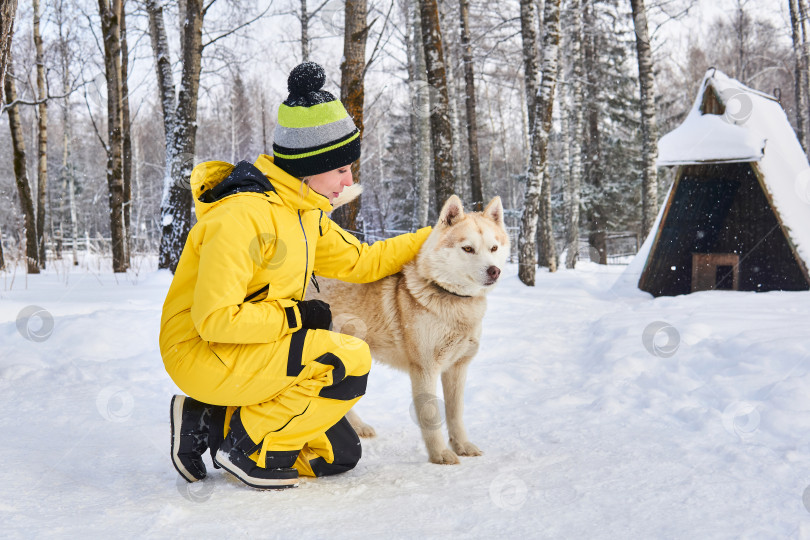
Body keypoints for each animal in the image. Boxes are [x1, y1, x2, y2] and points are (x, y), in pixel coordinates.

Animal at [312, 194, 508, 464]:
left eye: (494, 248)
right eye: (468, 248)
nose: (494, 271)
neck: (450, 298)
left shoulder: (457, 368)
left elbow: (455, 414)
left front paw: (462, 446)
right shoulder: (425, 369)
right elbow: (430, 415)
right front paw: (440, 455)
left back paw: (359, 427)